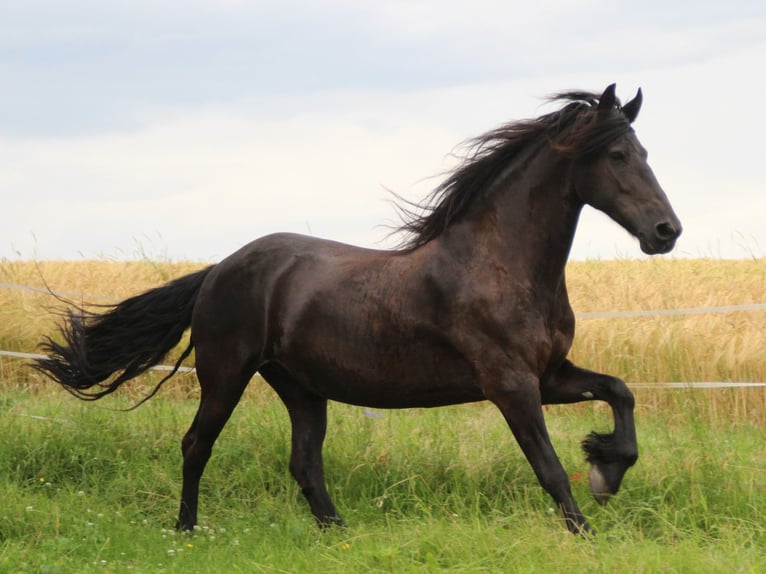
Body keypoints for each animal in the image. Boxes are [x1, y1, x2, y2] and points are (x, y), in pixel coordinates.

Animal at [34, 84, 684, 536]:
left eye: (645, 151)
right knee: (197, 445)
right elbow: (547, 466)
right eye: (618, 155)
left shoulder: (549, 375)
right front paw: (587, 527)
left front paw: (606, 469)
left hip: (300, 387)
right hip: (227, 374)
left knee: (304, 463)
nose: (666, 231)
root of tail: (219, 269)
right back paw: (187, 530)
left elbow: (620, 391)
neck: (502, 264)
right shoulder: (510, 383)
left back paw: (338, 534)